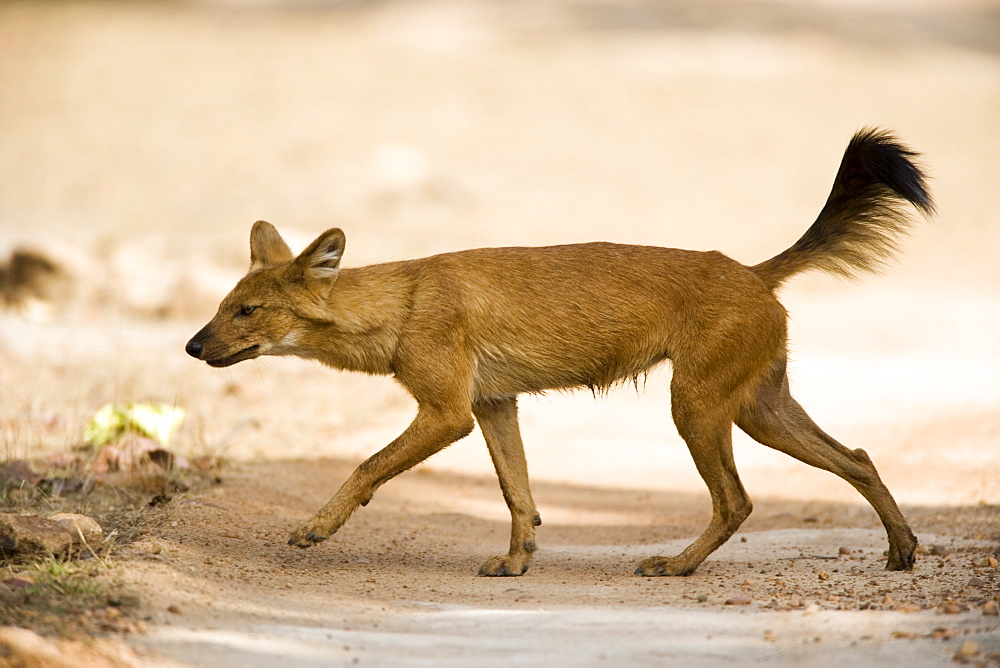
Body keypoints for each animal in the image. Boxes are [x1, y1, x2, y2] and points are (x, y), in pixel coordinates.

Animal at [189, 129, 936, 576]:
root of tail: (753, 270)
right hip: (760, 409)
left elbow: (368, 465)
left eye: (245, 311)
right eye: (221, 304)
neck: (401, 303)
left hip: (695, 406)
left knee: (738, 500)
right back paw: (902, 550)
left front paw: (316, 528)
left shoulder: (446, 413)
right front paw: (516, 561)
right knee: (857, 457)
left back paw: (676, 566)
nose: (192, 345)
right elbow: (517, 491)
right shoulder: (493, 405)